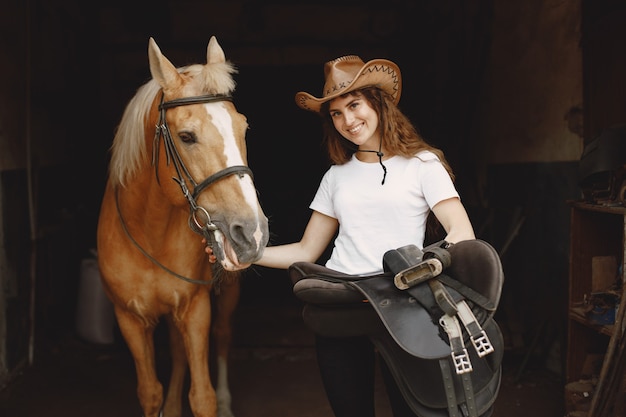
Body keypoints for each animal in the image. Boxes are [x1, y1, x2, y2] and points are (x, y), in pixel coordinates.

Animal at [96, 36, 266, 416]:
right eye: (187, 136)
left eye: (243, 128)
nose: (252, 232)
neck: (149, 231)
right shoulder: (129, 319)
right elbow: (150, 391)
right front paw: (166, 402)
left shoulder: (195, 310)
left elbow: (203, 397)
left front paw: (213, 401)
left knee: (222, 336)